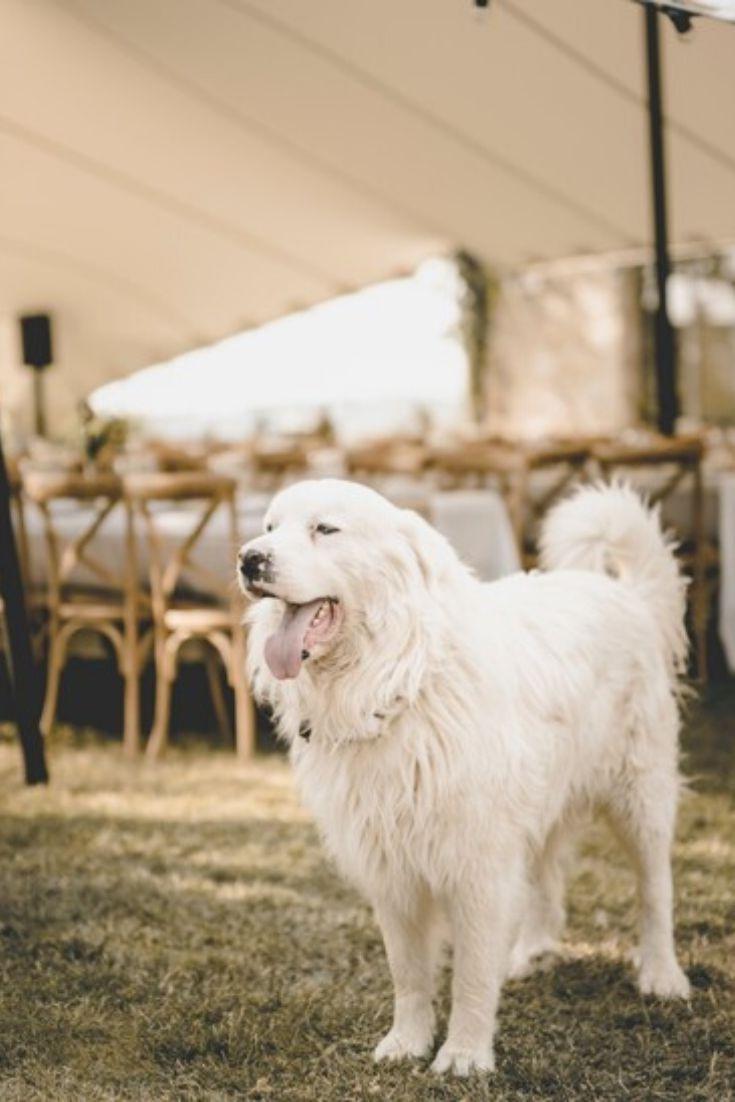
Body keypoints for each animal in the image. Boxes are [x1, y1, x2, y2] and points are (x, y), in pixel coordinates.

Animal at [239, 480, 692, 1075]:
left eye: (325, 529)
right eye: (269, 528)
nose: (248, 558)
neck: (399, 680)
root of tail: (626, 594)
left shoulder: (478, 867)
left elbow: (472, 976)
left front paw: (464, 1055)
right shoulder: (394, 869)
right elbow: (408, 973)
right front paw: (406, 1042)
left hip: (640, 797)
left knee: (655, 890)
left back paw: (662, 975)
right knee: (546, 877)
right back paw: (531, 952)